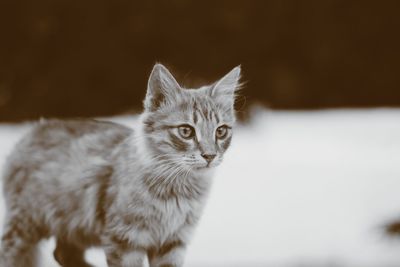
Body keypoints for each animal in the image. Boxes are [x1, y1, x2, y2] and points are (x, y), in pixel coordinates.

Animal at [0, 63, 241, 267]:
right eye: (186, 131)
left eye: (221, 131)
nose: (210, 155)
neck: (178, 191)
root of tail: (34, 129)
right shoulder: (125, 240)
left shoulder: (172, 242)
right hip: (26, 224)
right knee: (10, 253)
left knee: (62, 253)